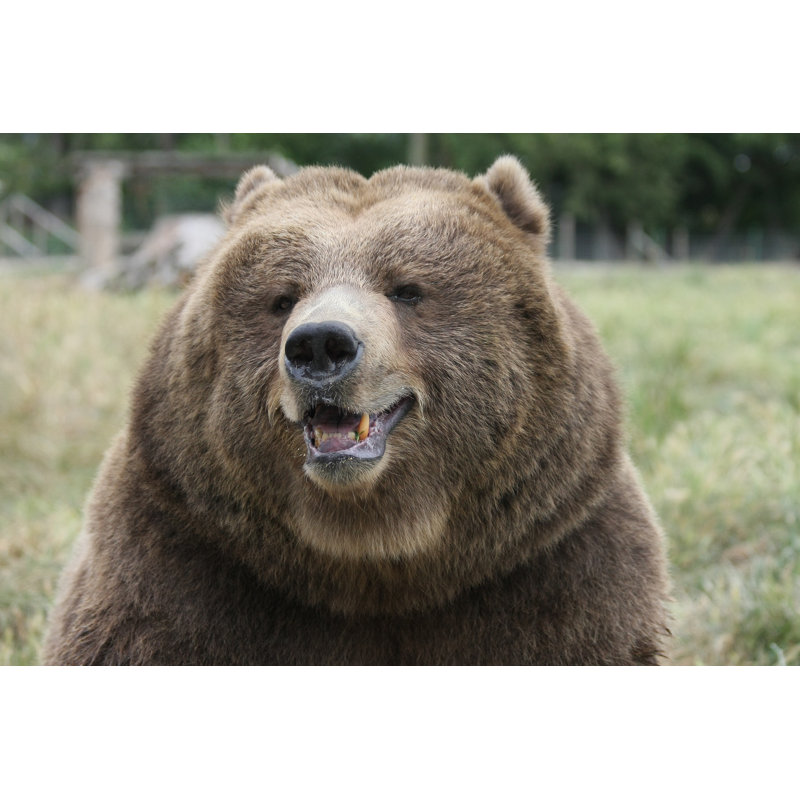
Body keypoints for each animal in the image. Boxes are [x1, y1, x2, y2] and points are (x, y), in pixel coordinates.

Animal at [43, 156, 670, 665]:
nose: (319, 345)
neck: (371, 553)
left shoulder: (554, 559)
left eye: (407, 288)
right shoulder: (181, 559)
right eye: (283, 297)